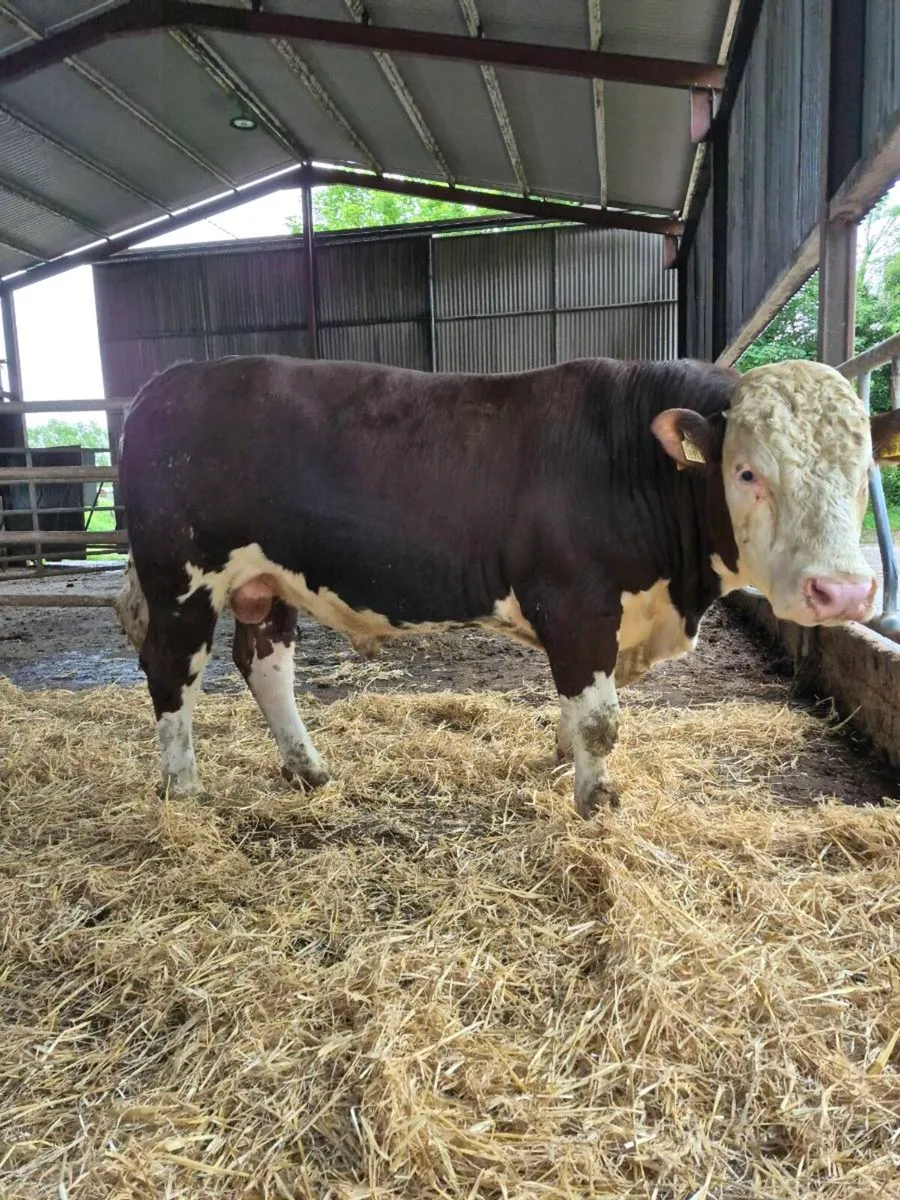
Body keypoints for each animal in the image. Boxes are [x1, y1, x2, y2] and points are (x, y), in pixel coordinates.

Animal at [115, 355, 900, 817]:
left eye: (863, 467)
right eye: (746, 471)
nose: (844, 594)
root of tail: (165, 382)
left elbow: (581, 710)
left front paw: (561, 760)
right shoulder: (576, 604)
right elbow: (602, 720)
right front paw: (596, 800)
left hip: (264, 580)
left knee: (265, 660)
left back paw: (309, 770)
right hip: (181, 578)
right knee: (171, 672)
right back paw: (184, 791)